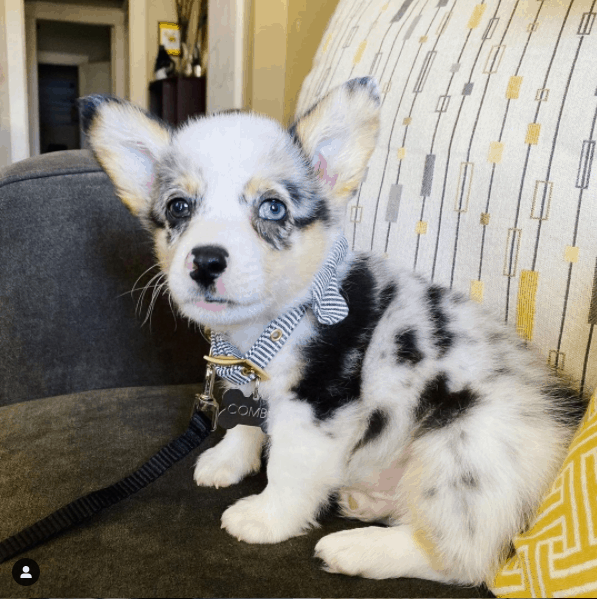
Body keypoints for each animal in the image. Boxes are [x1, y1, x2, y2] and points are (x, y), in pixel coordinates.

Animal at [80, 78, 588, 584]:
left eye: (273, 207)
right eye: (178, 206)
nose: (205, 261)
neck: (265, 330)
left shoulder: (315, 406)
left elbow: (288, 469)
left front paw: (265, 518)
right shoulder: (248, 384)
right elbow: (245, 424)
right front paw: (227, 460)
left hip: (463, 452)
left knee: (461, 556)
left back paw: (356, 549)